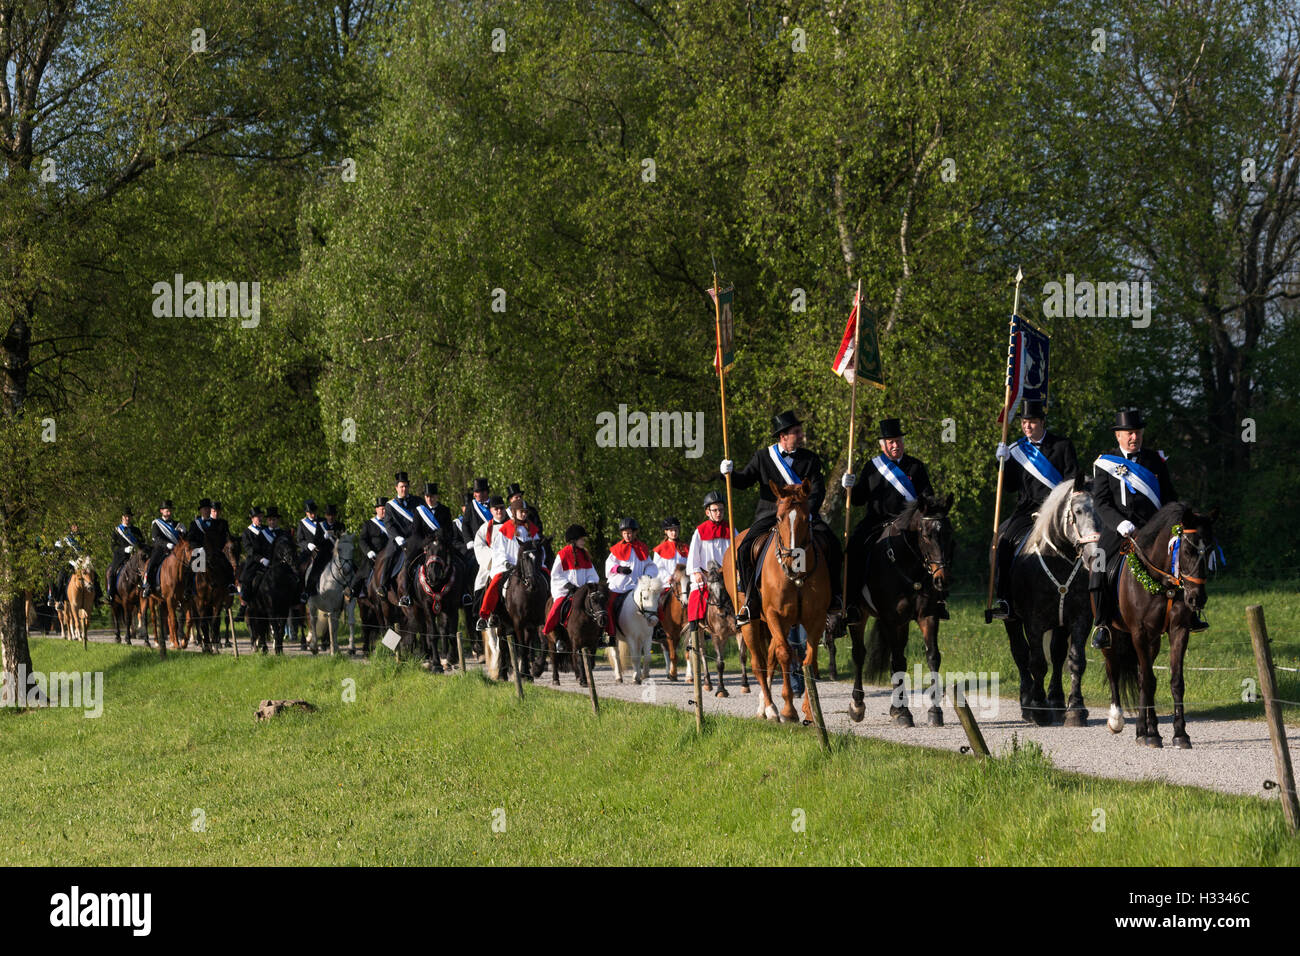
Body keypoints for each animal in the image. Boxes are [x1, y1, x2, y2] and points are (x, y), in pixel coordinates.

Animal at [722, 481, 832, 723]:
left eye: (806, 518)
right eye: (780, 518)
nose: (793, 560)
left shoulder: (816, 619)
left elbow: (809, 660)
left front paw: (809, 710)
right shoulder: (775, 615)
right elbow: (784, 654)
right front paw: (788, 710)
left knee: (770, 659)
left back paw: (765, 706)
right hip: (751, 622)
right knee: (759, 663)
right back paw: (771, 708)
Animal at [842, 496, 956, 728]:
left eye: (949, 534)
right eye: (926, 535)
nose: (943, 579)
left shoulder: (927, 616)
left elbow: (932, 657)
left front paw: (934, 711)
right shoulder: (890, 619)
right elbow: (897, 661)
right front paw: (904, 712)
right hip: (859, 616)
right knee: (859, 655)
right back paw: (857, 705)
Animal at [998, 476, 1102, 728]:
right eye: (1078, 510)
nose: (1093, 555)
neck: (1060, 558)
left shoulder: (1079, 619)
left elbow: (1075, 661)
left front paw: (1076, 709)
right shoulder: (1033, 623)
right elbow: (1036, 662)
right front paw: (1039, 708)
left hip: (1060, 623)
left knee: (1057, 654)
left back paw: (1056, 700)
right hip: (1012, 620)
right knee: (1020, 654)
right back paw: (1028, 703)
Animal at [1097, 502, 1216, 749]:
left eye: (1210, 551)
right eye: (1187, 550)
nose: (1197, 599)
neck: (1162, 582)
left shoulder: (1178, 630)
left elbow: (1175, 681)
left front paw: (1180, 734)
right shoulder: (1140, 632)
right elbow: (1150, 682)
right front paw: (1151, 733)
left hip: (1153, 640)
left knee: (1142, 676)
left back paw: (1145, 729)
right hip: (1113, 635)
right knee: (1114, 669)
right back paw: (1118, 720)